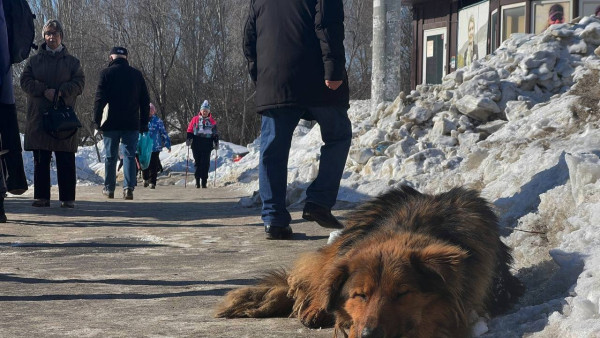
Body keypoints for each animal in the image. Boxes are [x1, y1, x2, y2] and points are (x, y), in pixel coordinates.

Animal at [217, 186, 524, 336]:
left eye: (402, 294)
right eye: (360, 295)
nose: (369, 335)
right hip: (338, 251)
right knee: (314, 285)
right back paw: (314, 310)